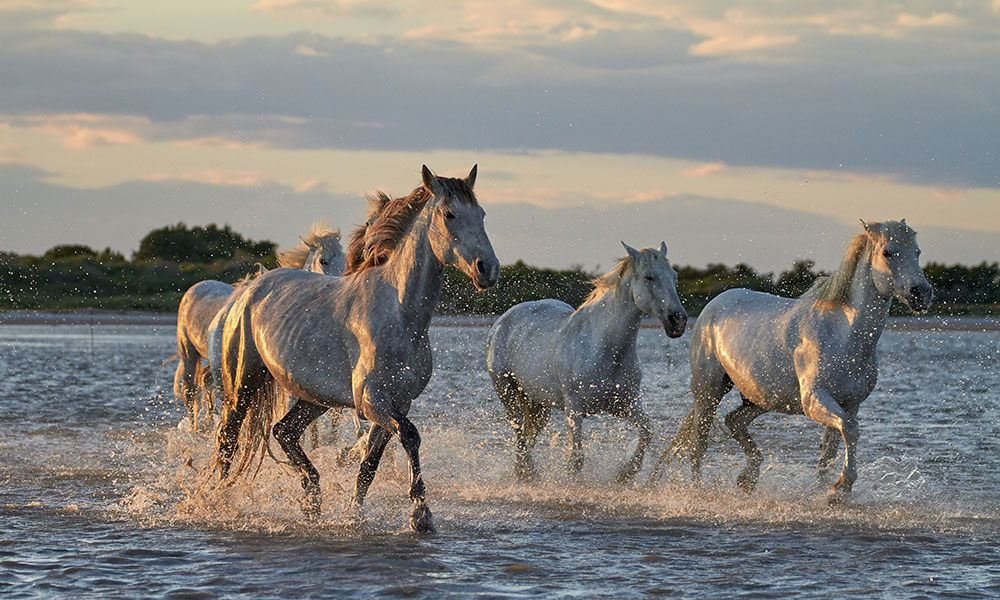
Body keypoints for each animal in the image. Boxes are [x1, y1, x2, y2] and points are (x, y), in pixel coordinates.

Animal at [214, 165, 499, 533]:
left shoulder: (398, 402)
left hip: (314, 397)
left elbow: (369, 466)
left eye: (481, 214)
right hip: (243, 385)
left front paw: (355, 515)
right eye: (449, 214)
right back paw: (217, 503)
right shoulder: (370, 401)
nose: (488, 269)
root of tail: (251, 287)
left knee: (284, 431)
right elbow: (411, 436)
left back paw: (312, 499)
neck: (399, 313)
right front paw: (420, 513)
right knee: (228, 440)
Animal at [486, 242, 688, 483]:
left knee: (528, 435)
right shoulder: (574, 409)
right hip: (506, 390)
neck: (603, 348)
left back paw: (524, 472)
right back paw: (527, 471)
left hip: (538, 403)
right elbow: (577, 458)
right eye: (649, 277)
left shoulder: (625, 403)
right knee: (518, 430)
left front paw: (625, 473)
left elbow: (647, 431)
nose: (678, 320)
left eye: (674, 276)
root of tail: (501, 322)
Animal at [656, 220, 932, 503]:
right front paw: (842, 485)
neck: (843, 333)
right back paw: (698, 491)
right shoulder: (814, 399)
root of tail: (712, 306)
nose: (922, 293)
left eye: (917, 252)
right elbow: (851, 430)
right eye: (887, 252)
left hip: (761, 397)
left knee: (734, 420)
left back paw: (747, 478)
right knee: (698, 445)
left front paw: (828, 492)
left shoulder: (849, 403)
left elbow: (830, 451)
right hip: (709, 392)